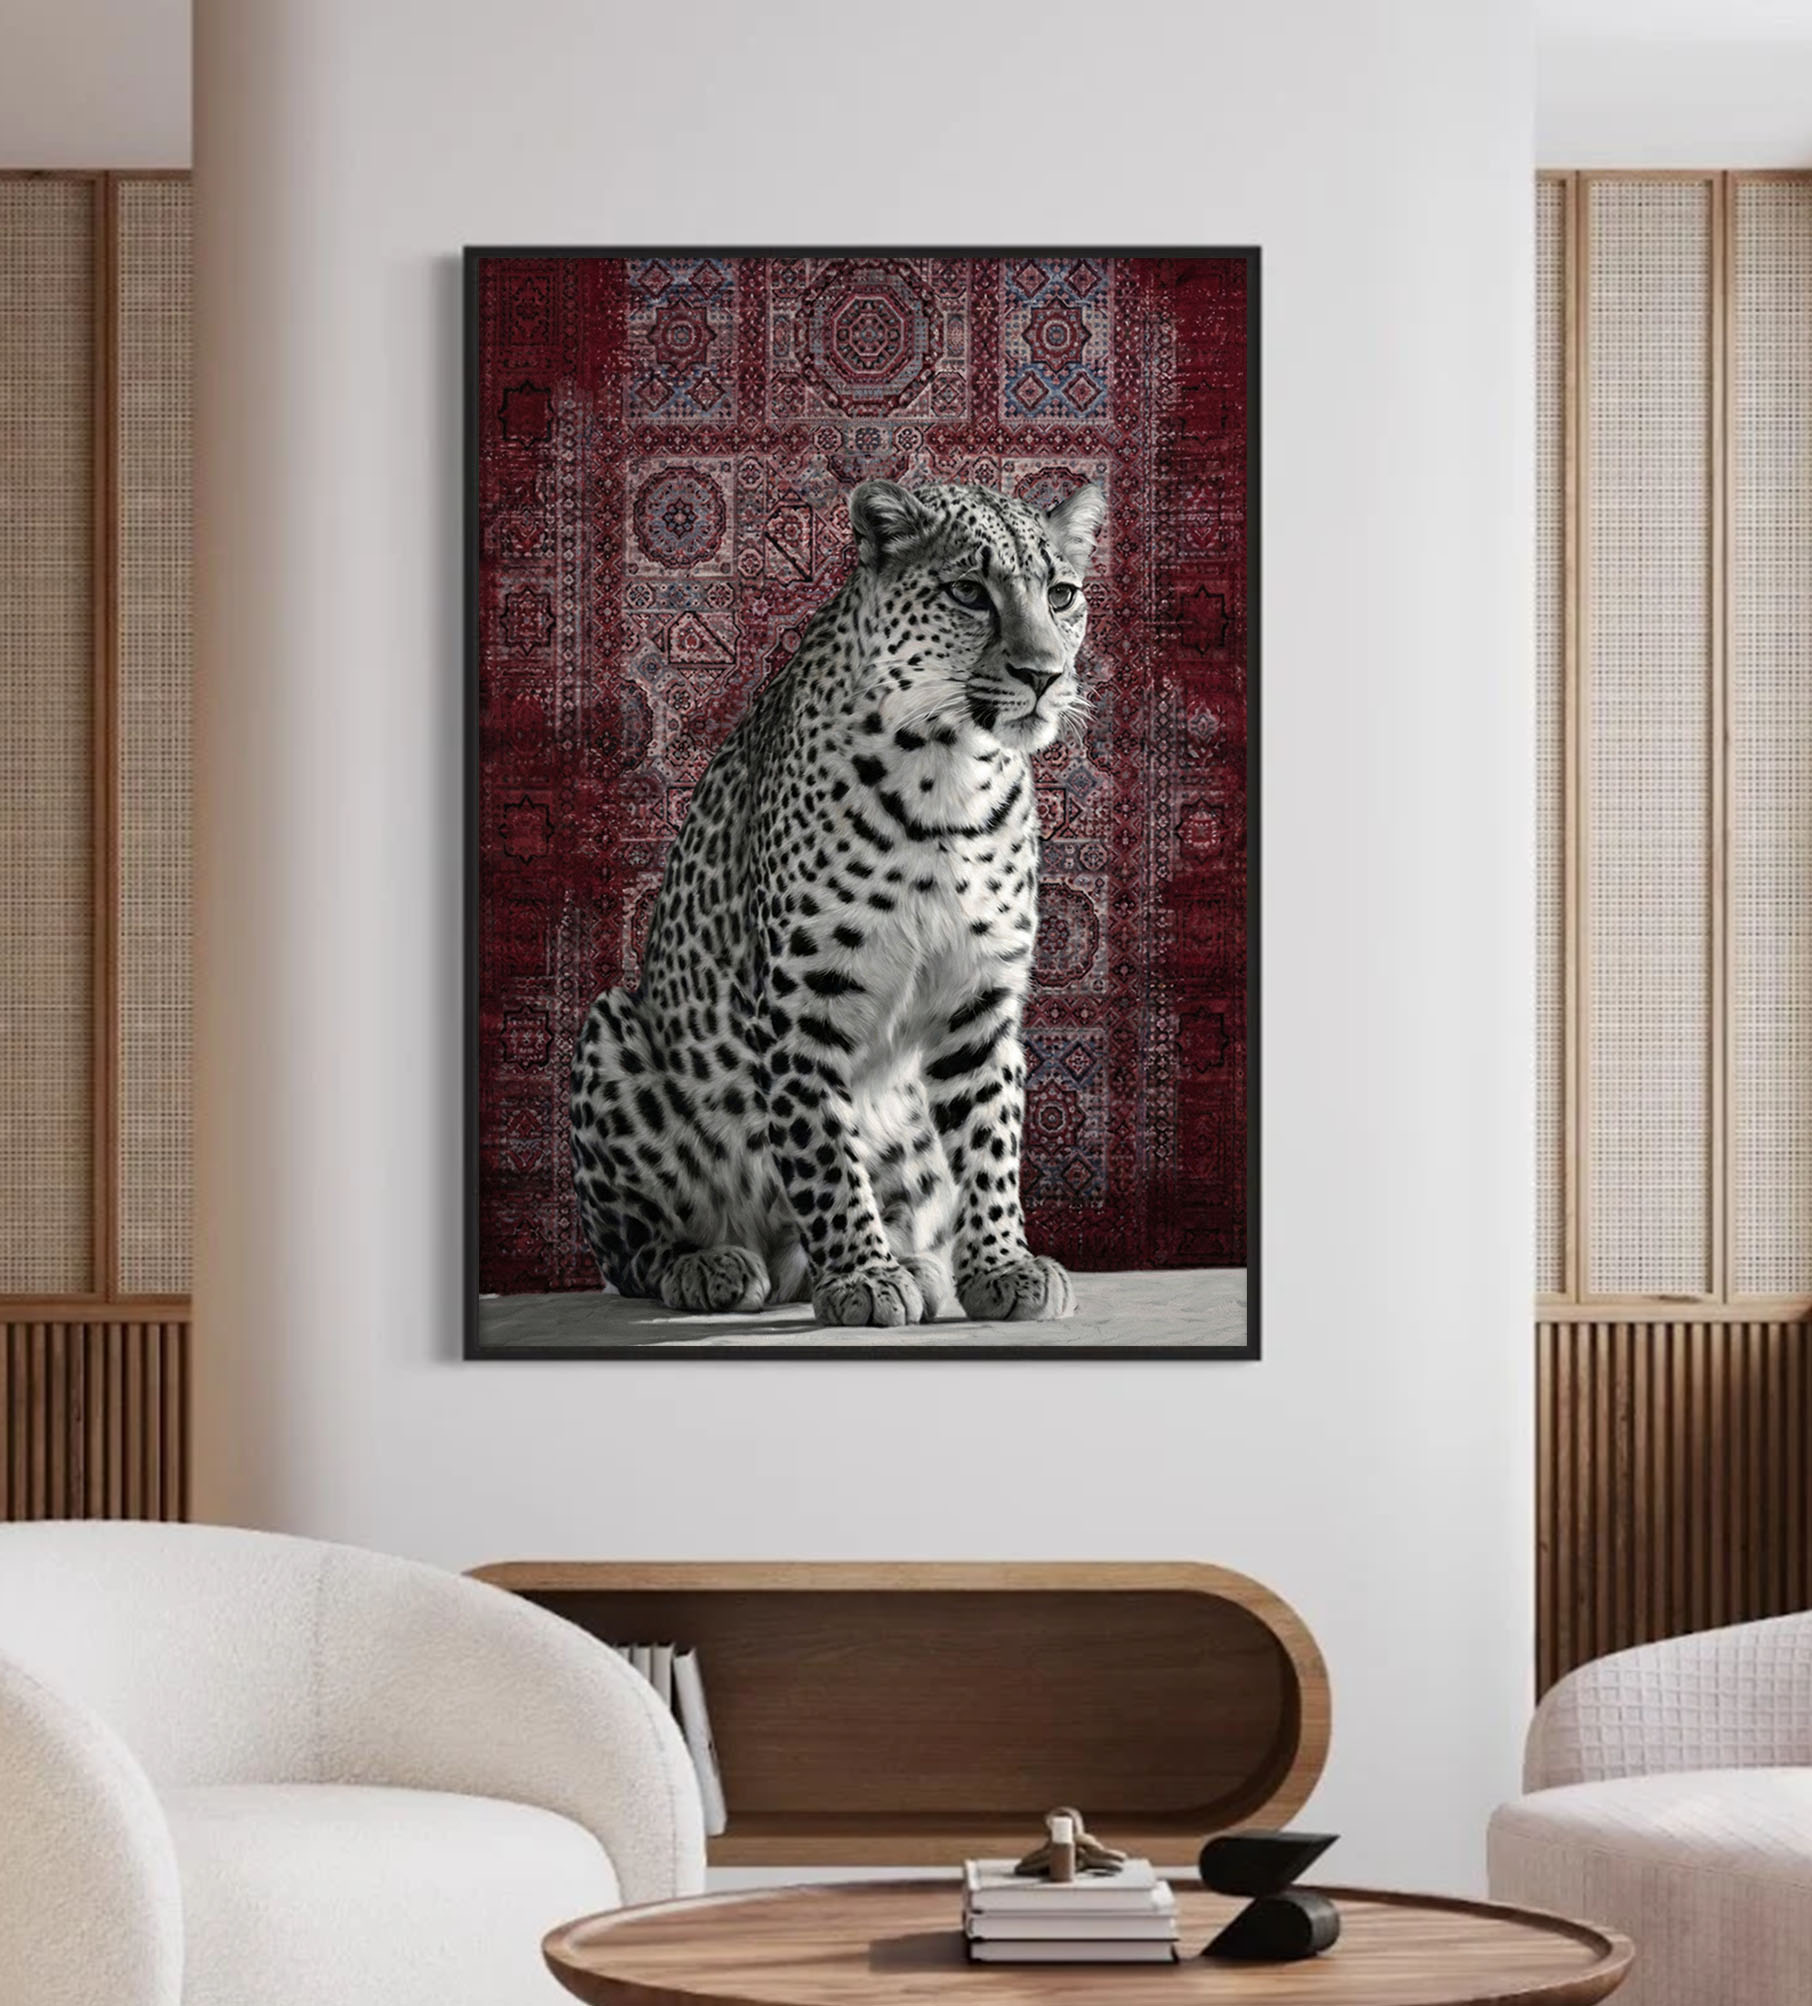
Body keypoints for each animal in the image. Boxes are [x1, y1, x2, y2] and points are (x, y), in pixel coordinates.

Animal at [569, 475, 1105, 1329]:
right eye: (968, 593)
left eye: (1062, 595)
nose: (1045, 674)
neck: (953, 775)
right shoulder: (802, 1000)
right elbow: (820, 1147)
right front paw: (860, 1277)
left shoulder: (979, 995)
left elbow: (990, 1139)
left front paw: (1002, 1265)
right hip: (610, 1029)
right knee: (629, 1254)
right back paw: (712, 1266)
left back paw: (918, 1265)